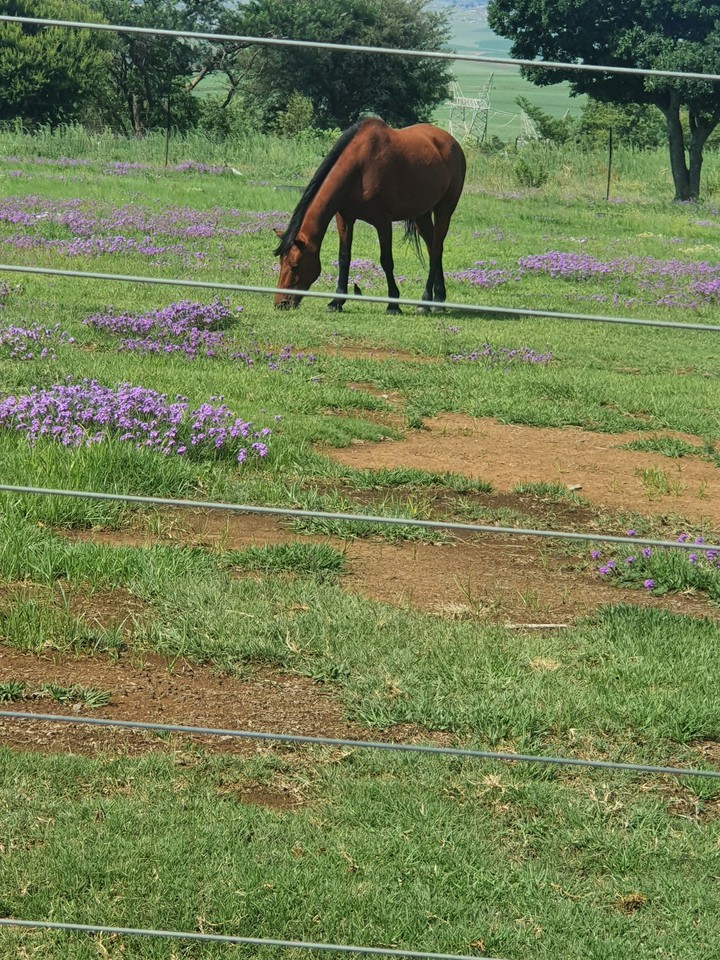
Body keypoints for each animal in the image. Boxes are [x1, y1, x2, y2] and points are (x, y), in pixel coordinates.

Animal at [273, 117, 466, 313]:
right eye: (281, 262)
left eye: (295, 265)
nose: (280, 303)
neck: (359, 169)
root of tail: (451, 142)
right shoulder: (344, 219)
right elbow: (344, 257)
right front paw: (336, 301)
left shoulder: (383, 222)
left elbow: (386, 260)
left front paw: (393, 304)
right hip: (421, 214)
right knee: (432, 247)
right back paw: (438, 298)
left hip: (444, 209)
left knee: (435, 250)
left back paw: (425, 302)